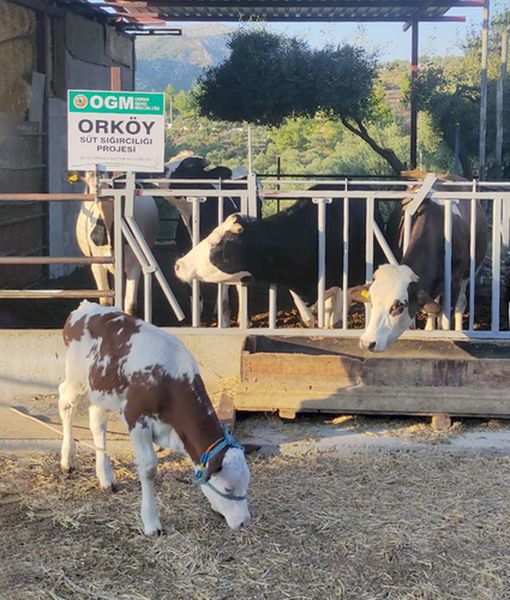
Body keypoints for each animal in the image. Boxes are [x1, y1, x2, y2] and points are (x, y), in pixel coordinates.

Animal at [58, 300, 250, 536]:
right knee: (65, 403)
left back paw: (105, 478)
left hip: (102, 389)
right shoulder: (136, 417)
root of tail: (85, 307)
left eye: (247, 483)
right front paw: (151, 523)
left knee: (97, 422)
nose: (244, 522)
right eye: (228, 488)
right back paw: (67, 461)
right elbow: (148, 468)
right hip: (77, 379)